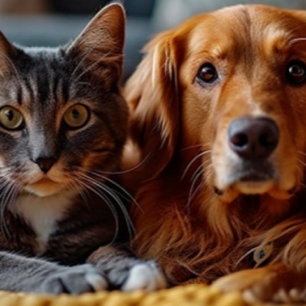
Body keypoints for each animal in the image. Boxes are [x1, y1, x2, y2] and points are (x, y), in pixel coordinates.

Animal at [0, 1, 166, 294]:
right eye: (9, 116)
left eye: (76, 115)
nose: (44, 159)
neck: (41, 204)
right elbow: (12, 261)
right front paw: (68, 276)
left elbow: (108, 245)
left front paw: (132, 266)